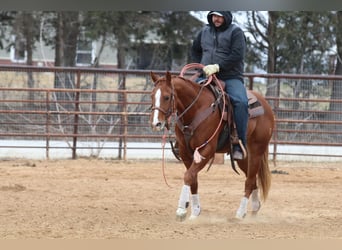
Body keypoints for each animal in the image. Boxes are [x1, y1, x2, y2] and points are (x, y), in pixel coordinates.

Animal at [150, 67, 276, 220]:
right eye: (151, 96)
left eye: (167, 97)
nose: (156, 123)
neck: (196, 108)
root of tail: (266, 104)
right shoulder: (185, 152)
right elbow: (193, 179)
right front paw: (195, 211)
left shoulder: (207, 150)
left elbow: (188, 176)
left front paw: (181, 209)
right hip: (243, 156)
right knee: (251, 179)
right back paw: (255, 208)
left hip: (257, 150)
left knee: (250, 180)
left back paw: (240, 213)